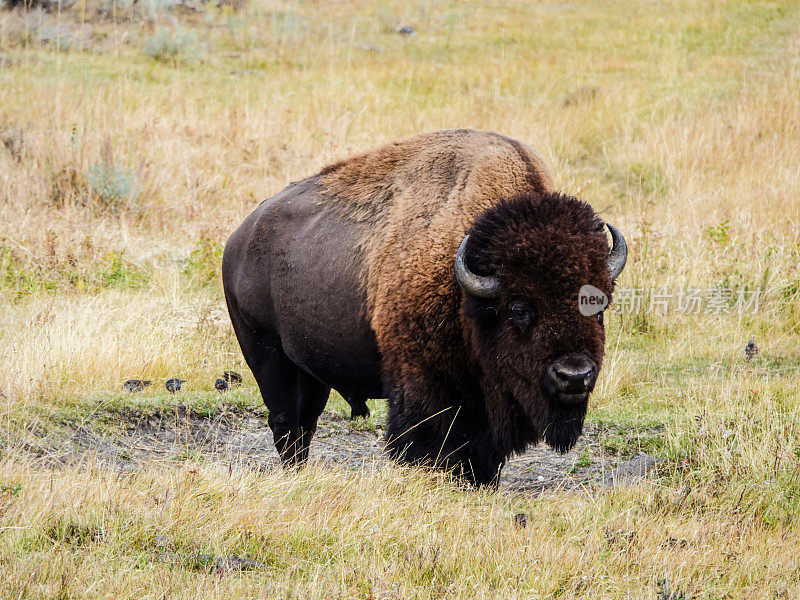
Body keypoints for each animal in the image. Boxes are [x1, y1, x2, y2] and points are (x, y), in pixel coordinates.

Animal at [222, 129, 628, 486]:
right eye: (518, 309)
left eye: (599, 305)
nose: (574, 376)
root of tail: (238, 240)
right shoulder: (420, 385)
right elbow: (424, 446)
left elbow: (482, 459)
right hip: (267, 355)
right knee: (286, 422)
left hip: (310, 371)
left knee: (304, 423)